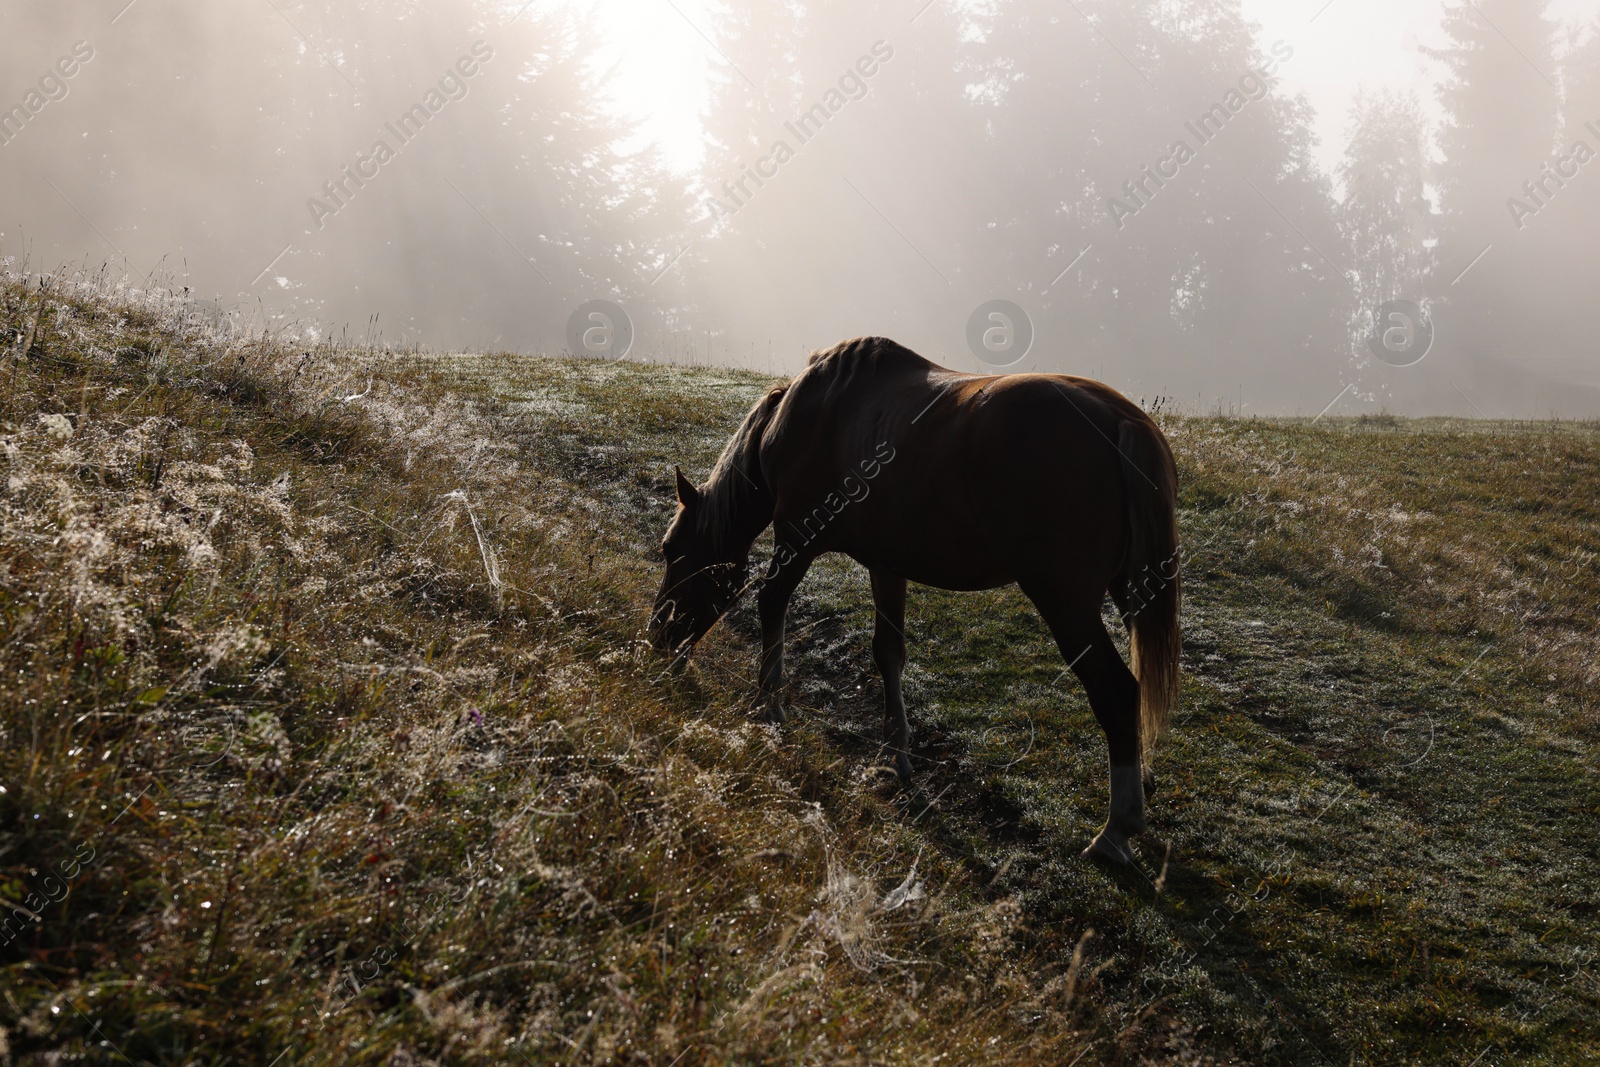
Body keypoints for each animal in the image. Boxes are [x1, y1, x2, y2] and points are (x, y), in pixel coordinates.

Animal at [643, 337, 1184, 863]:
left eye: (670, 548)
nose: (657, 638)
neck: (808, 416)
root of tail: (1121, 421)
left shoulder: (797, 536)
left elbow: (771, 603)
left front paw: (768, 702)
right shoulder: (887, 566)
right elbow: (888, 653)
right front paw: (896, 754)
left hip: (1066, 604)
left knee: (1117, 691)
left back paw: (1116, 830)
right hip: (1130, 589)